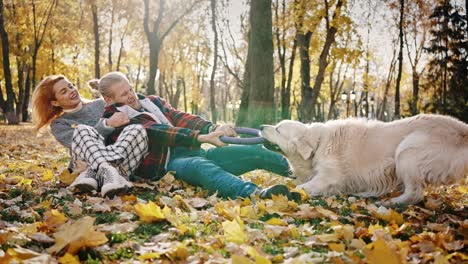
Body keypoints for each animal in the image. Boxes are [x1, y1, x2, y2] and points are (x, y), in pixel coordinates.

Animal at [260, 114, 468, 204]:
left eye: (278, 129)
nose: (261, 126)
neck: (319, 143)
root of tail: (462, 128)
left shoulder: (329, 177)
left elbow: (303, 187)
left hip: (406, 151)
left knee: (415, 194)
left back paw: (388, 203)